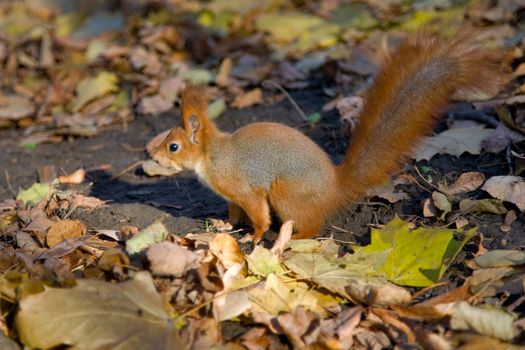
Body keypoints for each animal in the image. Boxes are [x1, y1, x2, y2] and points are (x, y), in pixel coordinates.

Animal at [150, 32, 504, 243]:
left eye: (173, 146)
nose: (151, 156)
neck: (211, 156)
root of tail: (334, 188)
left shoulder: (246, 189)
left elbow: (258, 214)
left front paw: (255, 237)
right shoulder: (231, 196)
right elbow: (234, 213)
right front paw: (227, 226)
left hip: (286, 192)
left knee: (312, 226)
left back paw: (293, 238)